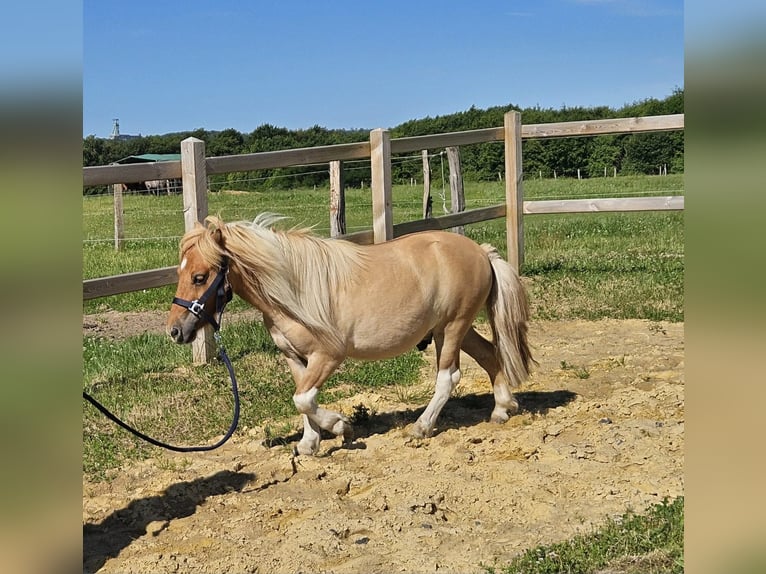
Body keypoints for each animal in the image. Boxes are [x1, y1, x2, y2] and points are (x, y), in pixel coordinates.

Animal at [167, 214, 534, 456]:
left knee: (449, 377)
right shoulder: (294, 358)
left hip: (452, 328)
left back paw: (421, 427)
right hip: (455, 328)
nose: (174, 331)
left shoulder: (328, 356)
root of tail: (481, 252)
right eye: (180, 273)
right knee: (490, 354)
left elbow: (303, 399)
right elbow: (301, 399)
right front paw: (309, 444)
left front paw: (341, 425)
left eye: (200, 277)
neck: (292, 291)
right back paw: (502, 409)